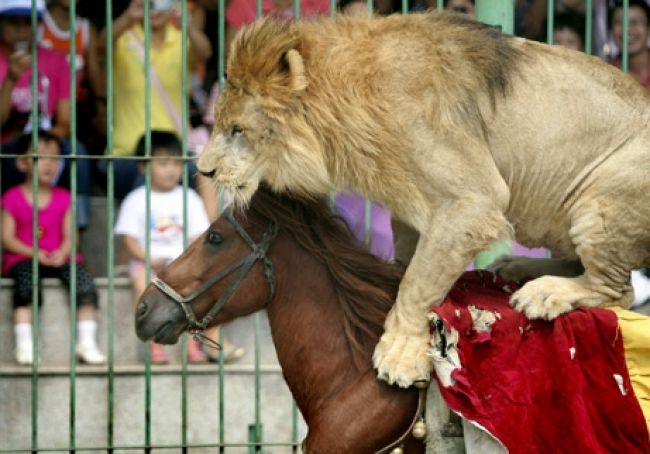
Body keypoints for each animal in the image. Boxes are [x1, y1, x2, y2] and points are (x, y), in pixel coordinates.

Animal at [197, 9, 648, 386]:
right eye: (219, 125)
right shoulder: (409, 205)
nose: (203, 170)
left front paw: (399, 353)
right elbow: (409, 262)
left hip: (599, 201)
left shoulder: (473, 201)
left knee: (618, 291)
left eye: (237, 130)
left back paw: (545, 292)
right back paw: (518, 266)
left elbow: (418, 281)